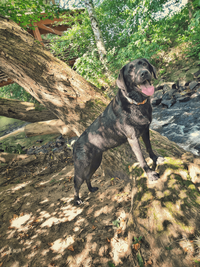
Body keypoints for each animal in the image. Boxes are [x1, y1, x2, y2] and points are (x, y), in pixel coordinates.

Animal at [72, 58, 163, 205]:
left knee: (88, 177)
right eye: (130, 69)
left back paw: (91, 189)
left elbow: (149, 148)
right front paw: (150, 174)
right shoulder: (132, 138)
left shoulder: (145, 130)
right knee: (76, 182)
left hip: (96, 161)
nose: (144, 73)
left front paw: (156, 159)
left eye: (144, 64)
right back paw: (77, 200)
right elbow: (142, 159)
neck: (135, 103)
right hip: (82, 166)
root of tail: (75, 144)